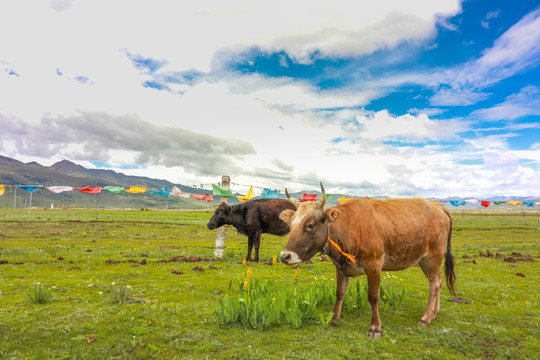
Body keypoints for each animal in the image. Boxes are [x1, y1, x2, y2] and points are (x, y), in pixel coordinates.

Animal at [278, 183, 456, 338]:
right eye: (290, 224)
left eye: (311, 224)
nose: (285, 256)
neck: (349, 227)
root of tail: (437, 206)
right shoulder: (340, 266)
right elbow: (339, 292)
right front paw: (333, 319)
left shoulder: (374, 264)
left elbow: (373, 296)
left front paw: (375, 328)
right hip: (423, 260)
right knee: (438, 281)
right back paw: (434, 312)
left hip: (434, 256)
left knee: (434, 284)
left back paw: (426, 318)